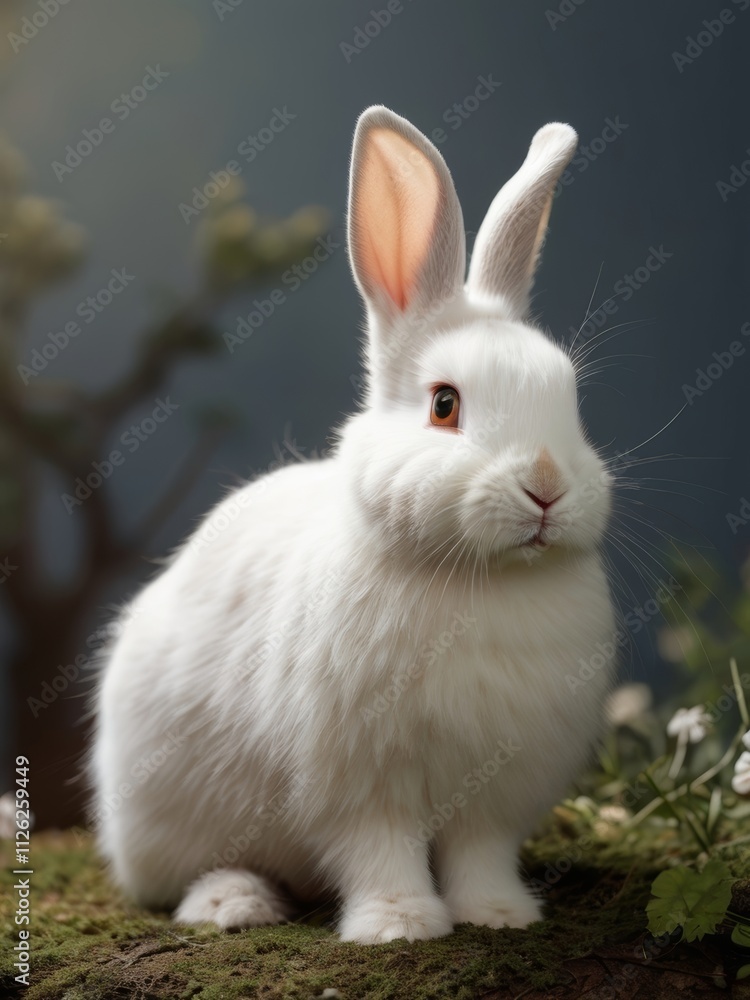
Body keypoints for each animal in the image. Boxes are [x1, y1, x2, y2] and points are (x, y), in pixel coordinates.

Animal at [90, 105, 616, 945]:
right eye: (444, 404)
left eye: (569, 399)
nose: (545, 488)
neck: (479, 576)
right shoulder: (361, 783)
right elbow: (381, 851)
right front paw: (399, 925)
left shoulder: (494, 794)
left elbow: (480, 853)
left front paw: (500, 915)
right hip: (166, 815)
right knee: (194, 872)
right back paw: (232, 904)